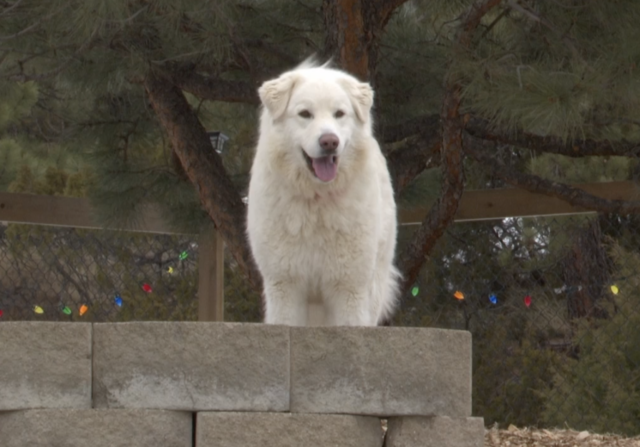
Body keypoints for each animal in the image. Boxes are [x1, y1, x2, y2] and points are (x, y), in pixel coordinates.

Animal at [246, 61, 400, 328]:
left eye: (339, 114)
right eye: (305, 114)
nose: (330, 141)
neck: (316, 201)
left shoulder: (349, 288)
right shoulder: (285, 285)